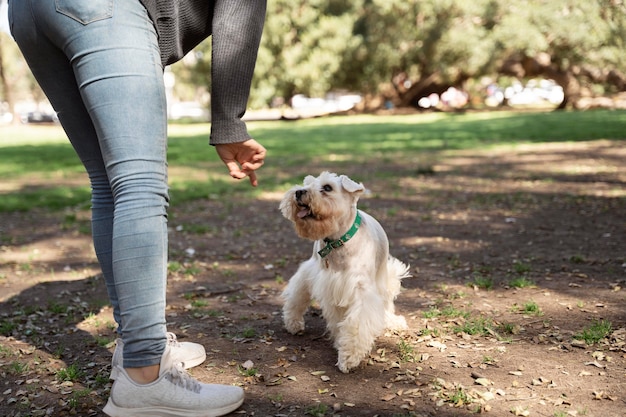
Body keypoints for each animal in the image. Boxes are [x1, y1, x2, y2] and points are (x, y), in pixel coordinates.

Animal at [280, 171, 410, 372]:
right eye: (308, 183)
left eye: (327, 187)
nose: (299, 192)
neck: (338, 240)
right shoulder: (327, 283)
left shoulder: (361, 290)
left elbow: (356, 324)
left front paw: (348, 357)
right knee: (297, 295)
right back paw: (293, 322)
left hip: (387, 279)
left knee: (387, 305)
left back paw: (393, 322)